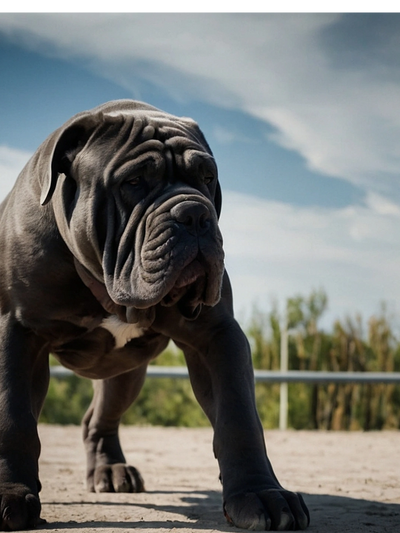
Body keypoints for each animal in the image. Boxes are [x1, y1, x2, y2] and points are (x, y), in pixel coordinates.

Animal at [0, 98, 310, 528]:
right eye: (133, 182)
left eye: (207, 177)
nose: (194, 213)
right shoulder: (17, 330)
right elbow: (13, 418)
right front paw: (11, 493)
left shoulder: (218, 334)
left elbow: (240, 419)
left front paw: (261, 494)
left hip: (125, 375)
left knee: (99, 419)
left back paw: (111, 471)